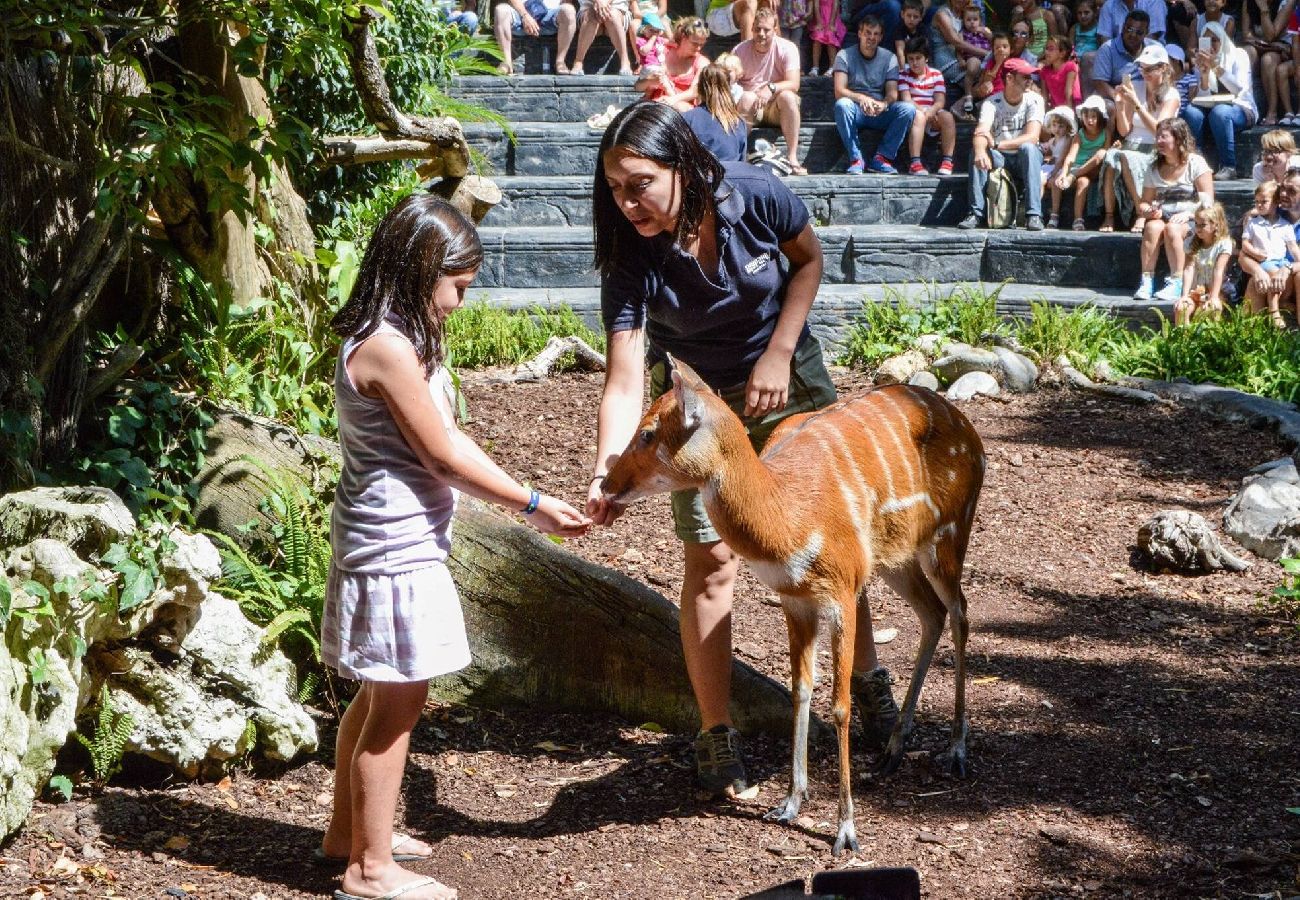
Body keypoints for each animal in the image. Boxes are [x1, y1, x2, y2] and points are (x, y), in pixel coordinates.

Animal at [598, 356, 982, 853]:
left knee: (960, 612)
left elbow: (838, 706)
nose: (606, 484)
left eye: (647, 433)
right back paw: (893, 750)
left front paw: (846, 832)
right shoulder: (794, 598)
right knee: (932, 613)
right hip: (895, 555)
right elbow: (800, 690)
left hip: (949, 533)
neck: (789, 523)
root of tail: (971, 432)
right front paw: (789, 805)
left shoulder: (842, 588)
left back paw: (955, 751)